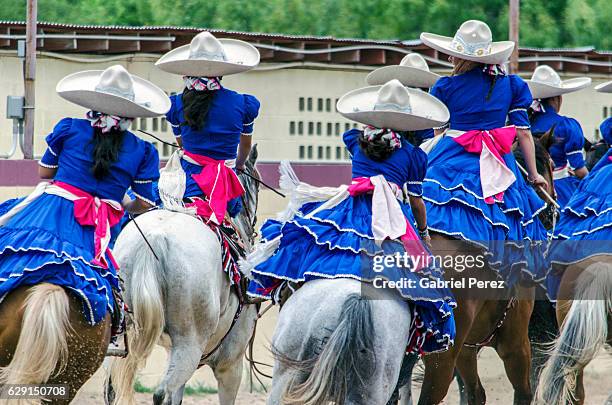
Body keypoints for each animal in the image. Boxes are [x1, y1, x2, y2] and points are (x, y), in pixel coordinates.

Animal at [418, 135, 556, 404]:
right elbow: (524, 393)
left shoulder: (467, 350)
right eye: (552, 164)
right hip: (441, 356)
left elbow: (475, 393)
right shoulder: (516, 345)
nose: (549, 214)